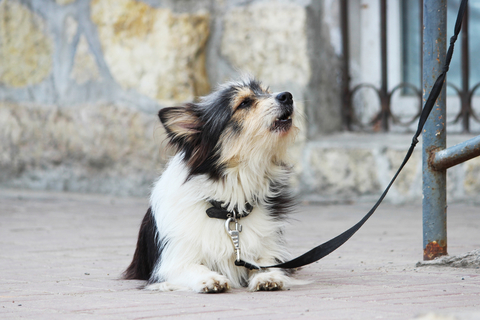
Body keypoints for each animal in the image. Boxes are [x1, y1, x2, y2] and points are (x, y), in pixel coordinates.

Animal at [125, 78, 302, 292]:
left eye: (267, 92)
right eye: (244, 103)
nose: (287, 95)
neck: (228, 208)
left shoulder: (268, 249)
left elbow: (265, 264)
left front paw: (267, 277)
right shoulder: (171, 264)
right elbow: (194, 267)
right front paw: (210, 278)